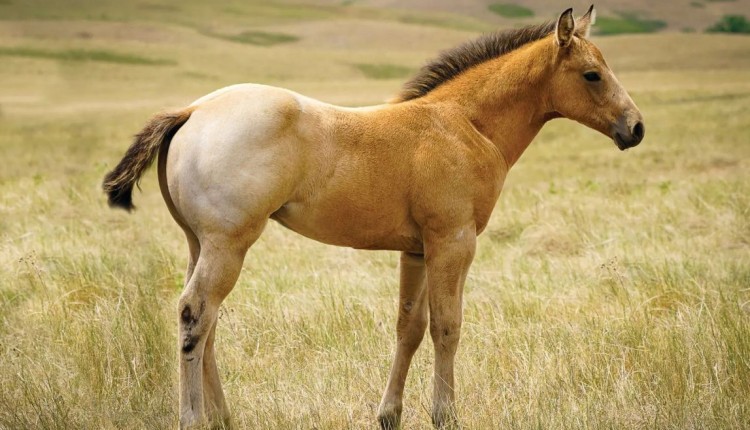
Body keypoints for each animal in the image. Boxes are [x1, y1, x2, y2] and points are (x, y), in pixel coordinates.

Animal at [102, 6, 644, 429]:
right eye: (592, 75)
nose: (635, 128)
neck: (464, 124)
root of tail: (192, 110)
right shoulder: (454, 242)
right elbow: (448, 327)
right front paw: (445, 415)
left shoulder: (417, 250)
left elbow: (410, 327)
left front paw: (389, 415)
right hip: (228, 243)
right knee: (195, 313)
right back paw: (194, 418)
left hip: (200, 244)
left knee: (208, 321)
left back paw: (223, 417)